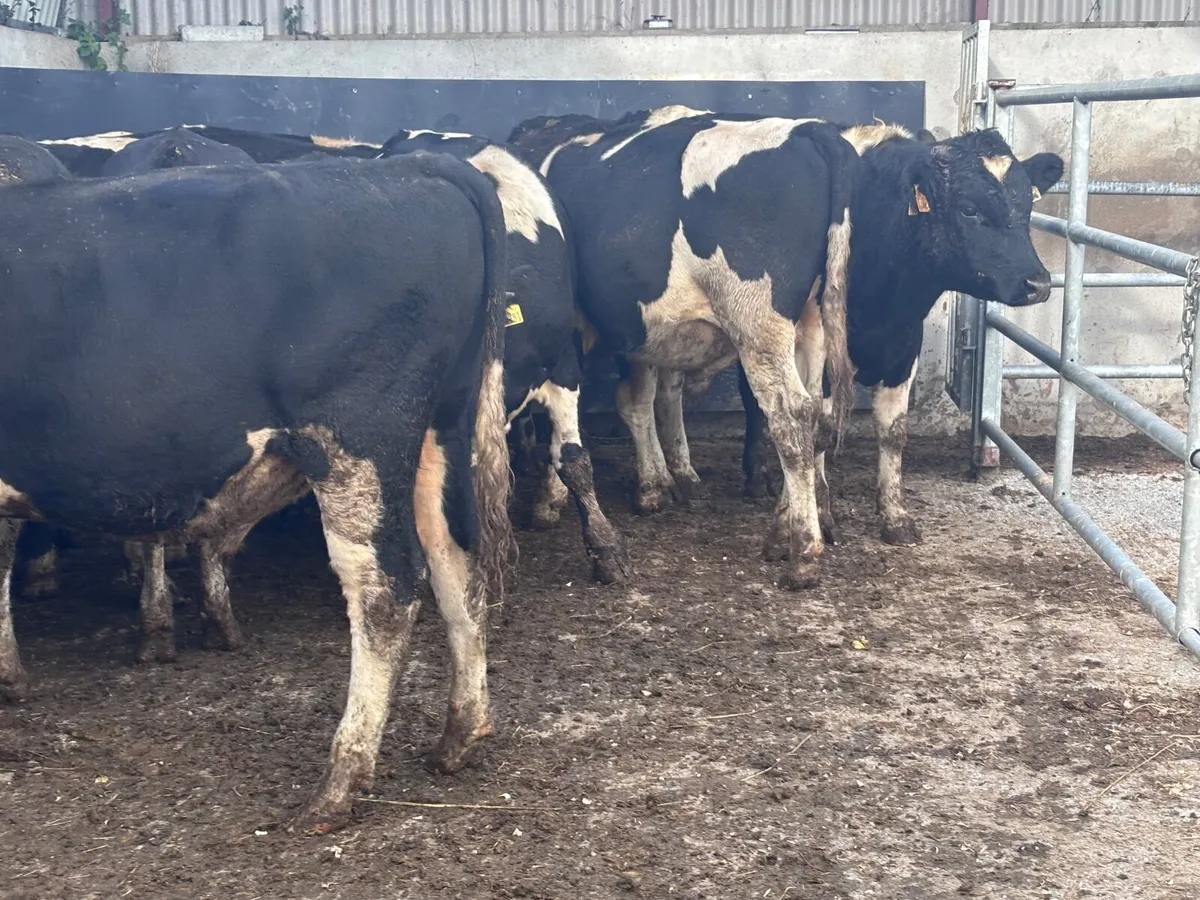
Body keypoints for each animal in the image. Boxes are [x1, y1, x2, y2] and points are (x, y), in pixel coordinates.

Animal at [0, 151, 513, 832]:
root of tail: (411, 165)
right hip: (439, 433)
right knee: (459, 565)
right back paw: (460, 735)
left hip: (355, 440)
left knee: (386, 591)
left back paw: (339, 783)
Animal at [506, 106, 860, 590]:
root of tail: (810, 130)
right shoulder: (640, 335)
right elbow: (638, 400)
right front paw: (655, 484)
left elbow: (567, 422)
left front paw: (549, 500)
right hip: (812, 321)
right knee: (818, 412)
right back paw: (786, 528)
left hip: (758, 324)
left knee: (791, 416)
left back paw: (804, 553)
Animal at [730, 124, 1063, 545]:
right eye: (969, 209)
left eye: (1027, 208)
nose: (1039, 284)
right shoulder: (821, 353)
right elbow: (818, 425)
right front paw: (819, 512)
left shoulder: (905, 350)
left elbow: (893, 431)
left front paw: (895, 515)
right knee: (755, 403)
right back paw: (756, 477)